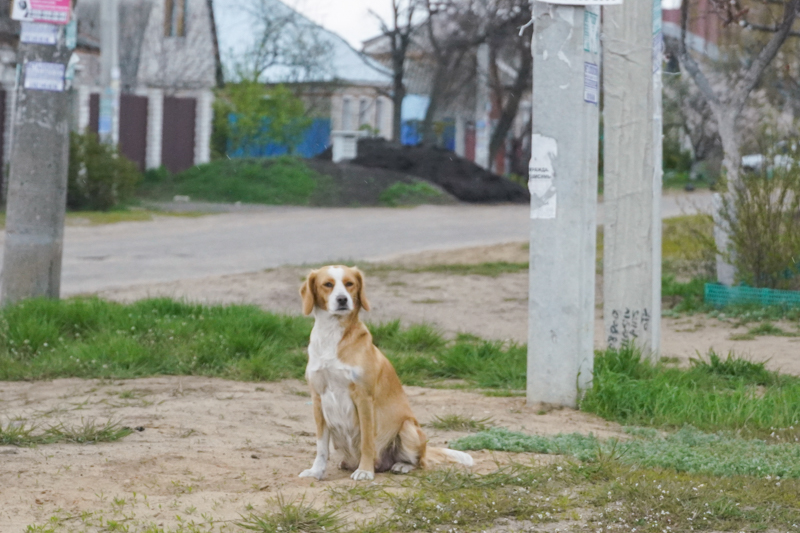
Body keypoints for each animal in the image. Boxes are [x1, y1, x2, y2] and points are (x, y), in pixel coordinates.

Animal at [300, 264, 476, 480]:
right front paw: (316, 471)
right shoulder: (318, 399)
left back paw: (401, 465)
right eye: (327, 284)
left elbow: (367, 441)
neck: (332, 334)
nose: (342, 299)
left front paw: (365, 471)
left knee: (421, 462)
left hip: (408, 428)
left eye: (349, 284)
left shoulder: (364, 399)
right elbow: (321, 446)